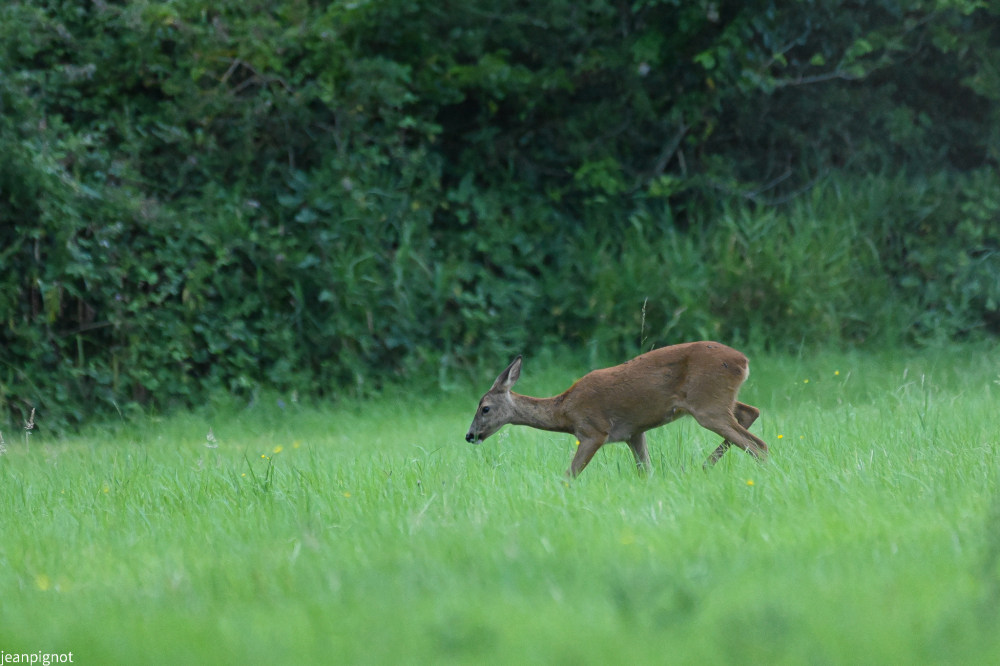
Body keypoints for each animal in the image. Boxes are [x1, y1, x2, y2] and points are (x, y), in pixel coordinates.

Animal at [464, 340, 768, 474]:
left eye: (485, 408)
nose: (469, 435)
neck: (564, 411)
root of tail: (742, 361)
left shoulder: (593, 431)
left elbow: (570, 474)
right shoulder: (634, 433)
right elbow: (645, 470)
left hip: (708, 405)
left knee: (758, 444)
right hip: (715, 402)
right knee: (750, 412)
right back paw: (703, 466)